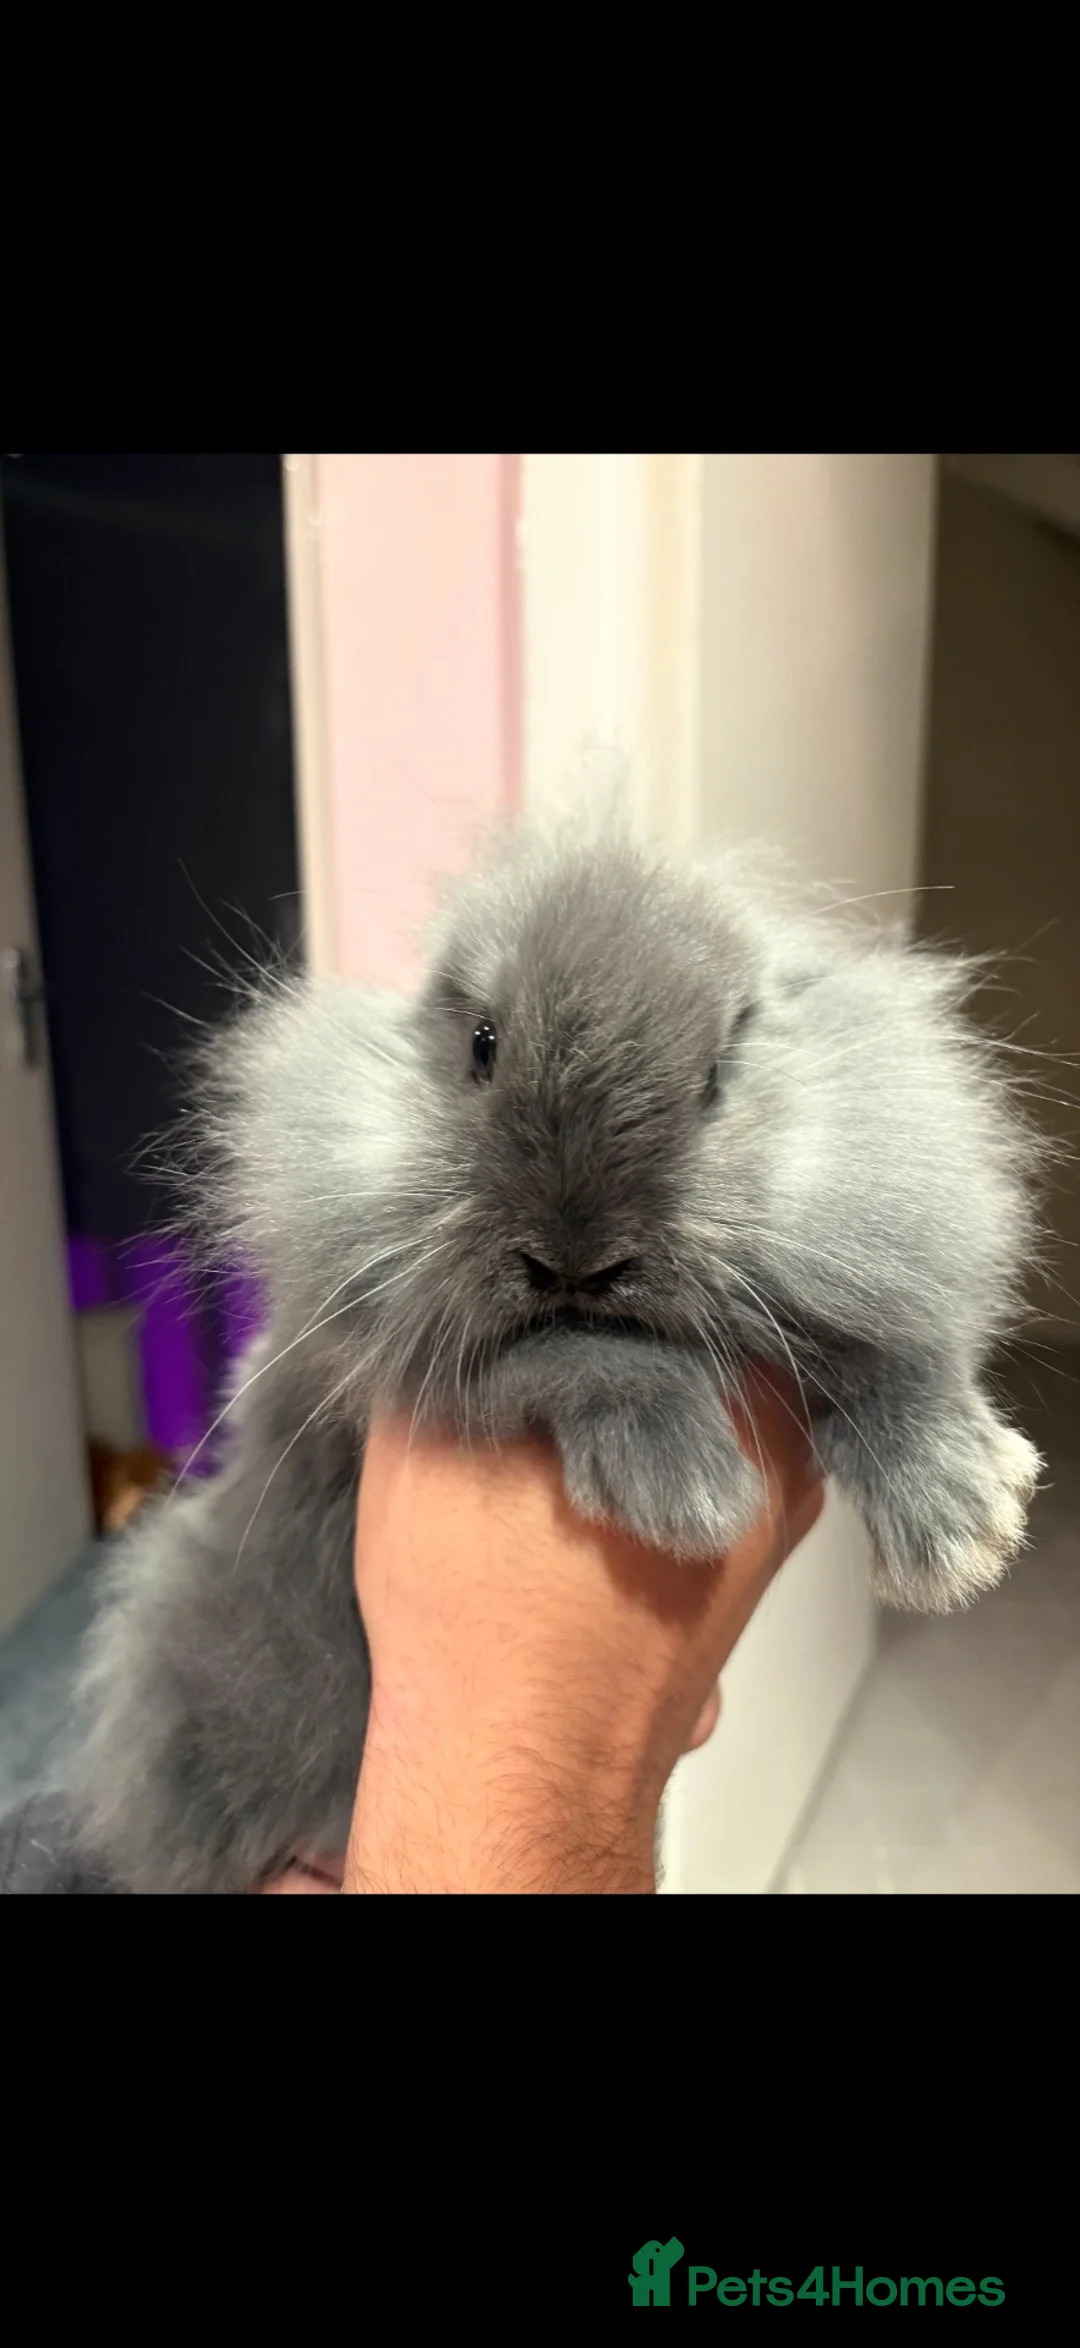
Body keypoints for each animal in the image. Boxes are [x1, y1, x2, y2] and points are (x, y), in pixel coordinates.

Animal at [70, 825, 1045, 1892]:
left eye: (715, 1075)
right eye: (482, 1045)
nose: (574, 1258)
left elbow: (885, 1354)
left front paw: (962, 1517)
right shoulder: (424, 1367)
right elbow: (584, 1357)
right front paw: (687, 1490)